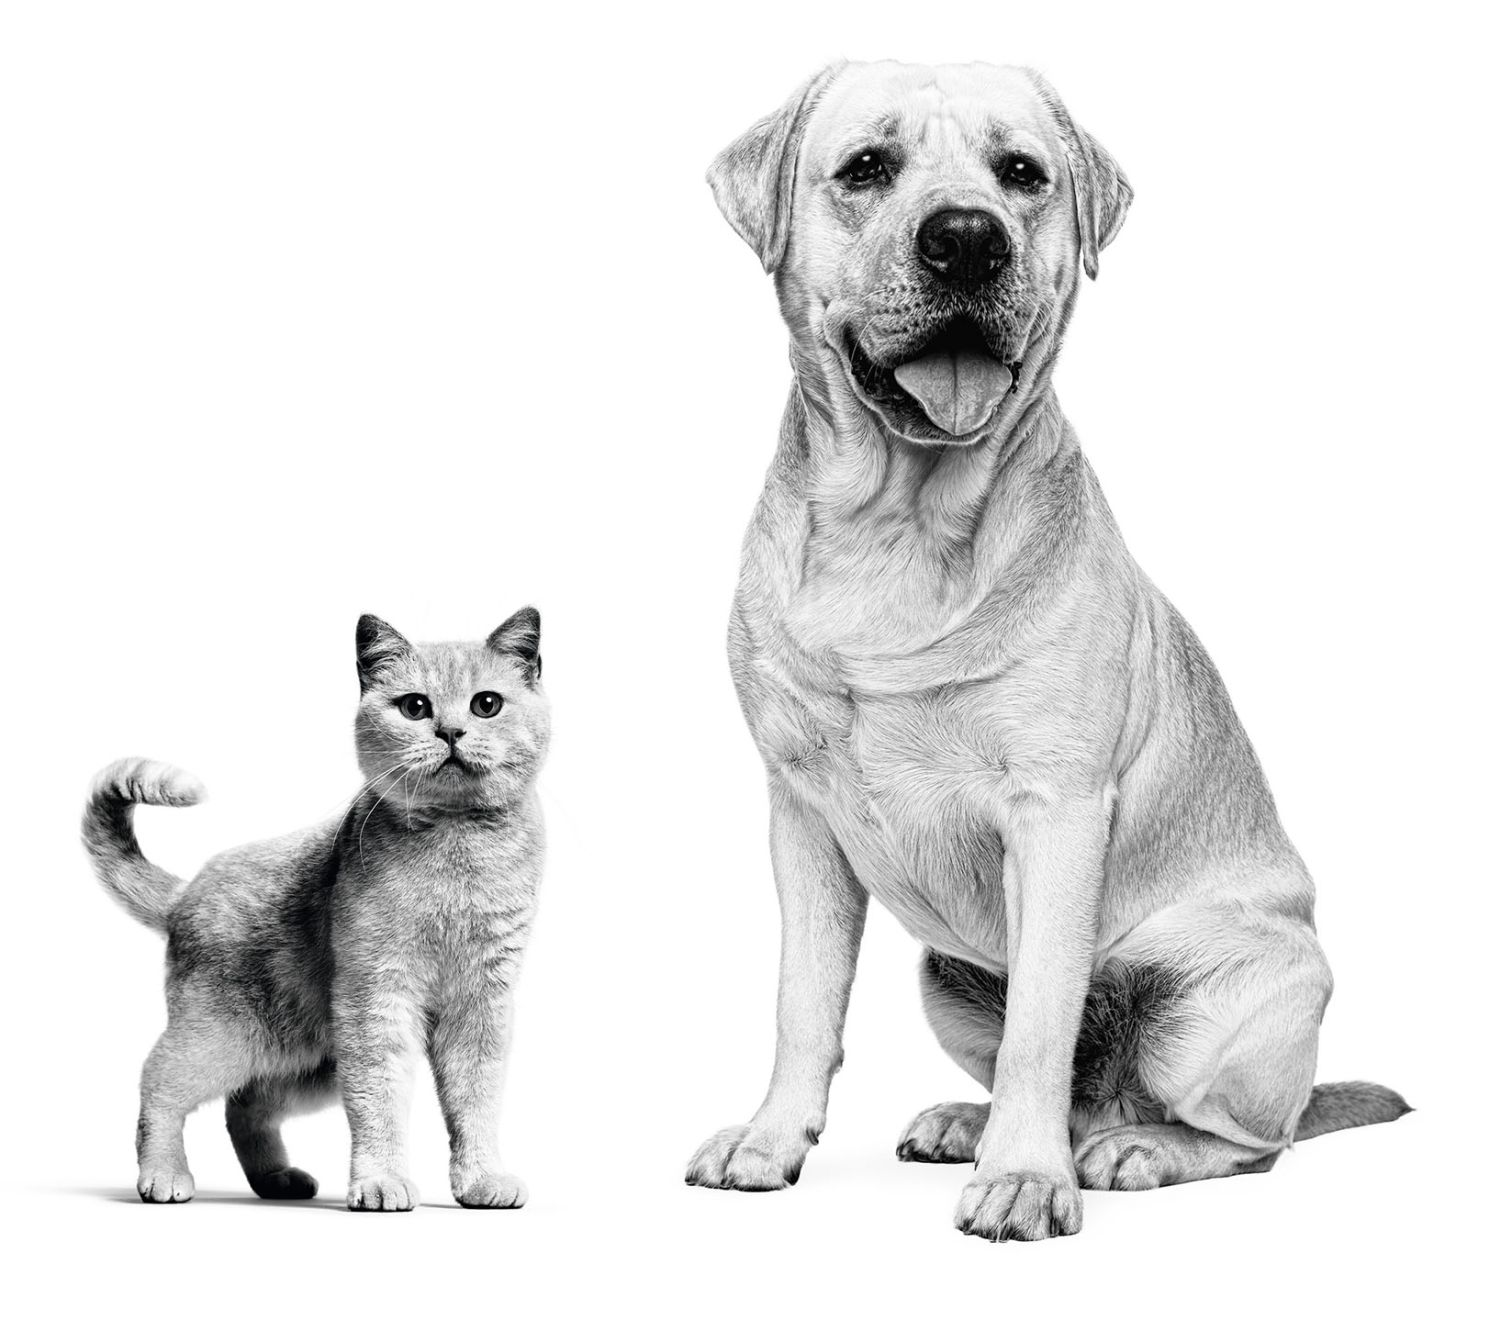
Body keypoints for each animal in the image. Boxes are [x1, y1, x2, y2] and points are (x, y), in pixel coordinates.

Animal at [82, 609, 552, 1207]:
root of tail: (185, 892)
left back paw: (277, 1180)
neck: (457, 846)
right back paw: (163, 1176)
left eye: (486, 704)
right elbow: (380, 1100)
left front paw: (482, 1180)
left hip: (307, 1060)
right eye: (415, 707)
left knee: (245, 1106)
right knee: (159, 1082)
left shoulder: (483, 1001)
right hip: (224, 1034)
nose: (450, 731)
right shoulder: (375, 998)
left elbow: (476, 1100)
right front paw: (381, 1182)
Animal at [681, 59, 1404, 1237]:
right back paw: (972, 1125)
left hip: (1221, 998)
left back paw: (1129, 1150)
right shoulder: (800, 818)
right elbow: (803, 1001)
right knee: (1077, 1085)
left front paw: (1023, 1182)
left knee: (1253, 1140)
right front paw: (772, 1139)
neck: (902, 525)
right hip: (947, 975)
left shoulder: (1056, 815)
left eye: (1021, 174)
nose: (967, 239)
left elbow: (1040, 1026)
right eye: (865, 168)